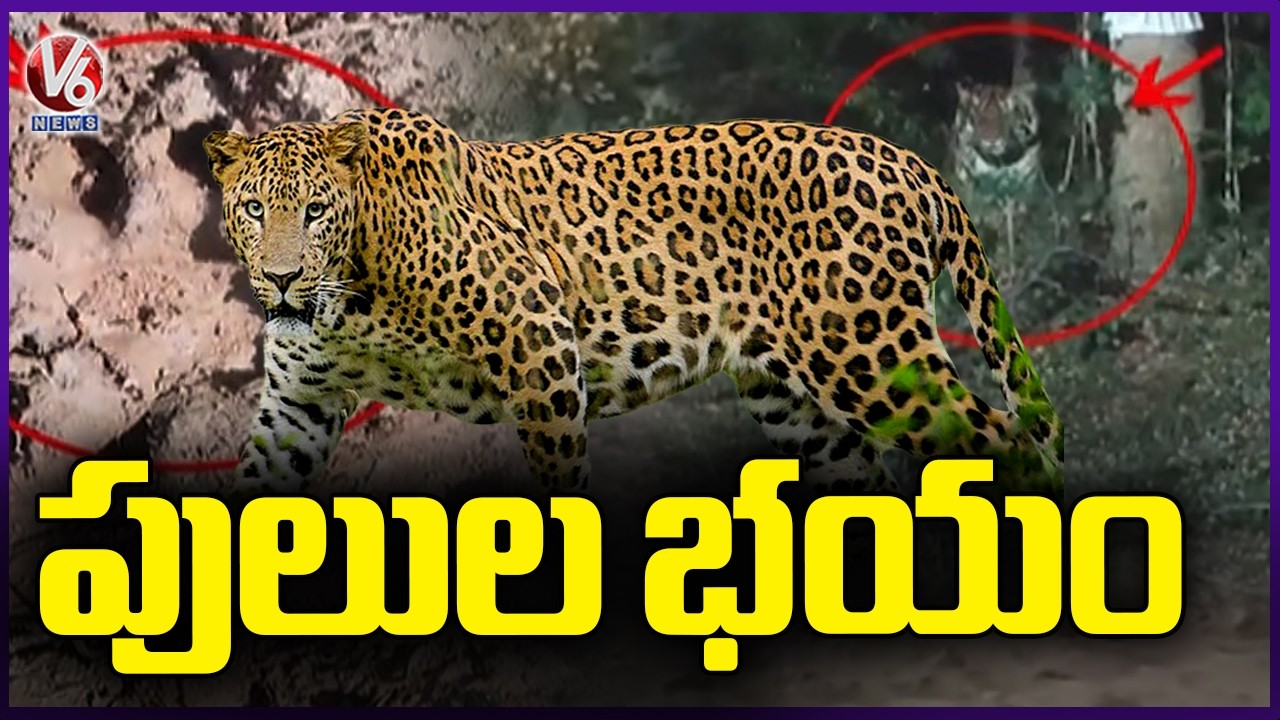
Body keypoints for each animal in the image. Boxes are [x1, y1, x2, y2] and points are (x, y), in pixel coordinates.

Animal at [203, 107, 1064, 504]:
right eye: (254, 209)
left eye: (315, 210)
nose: (282, 279)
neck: (347, 295)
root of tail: (911, 162)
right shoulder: (299, 403)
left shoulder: (540, 345)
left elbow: (557, 486)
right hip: (796, 402)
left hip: (871, 353)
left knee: (1012, 439)